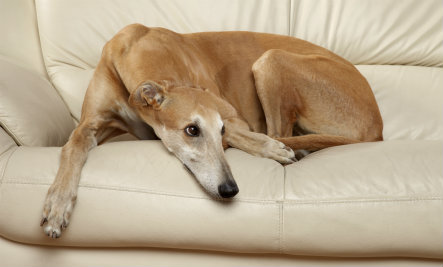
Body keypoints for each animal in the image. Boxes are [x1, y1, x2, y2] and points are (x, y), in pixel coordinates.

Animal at [40, 24, 384, 239]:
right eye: (192, 130)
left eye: (218, 130)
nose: (230, 189)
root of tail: (377, 126)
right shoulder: (90, 124)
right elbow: (73, 145)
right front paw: (57, 207)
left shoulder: (234, 118)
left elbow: (242, 134)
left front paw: (271, 148)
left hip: (271, 59)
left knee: (279, 131)